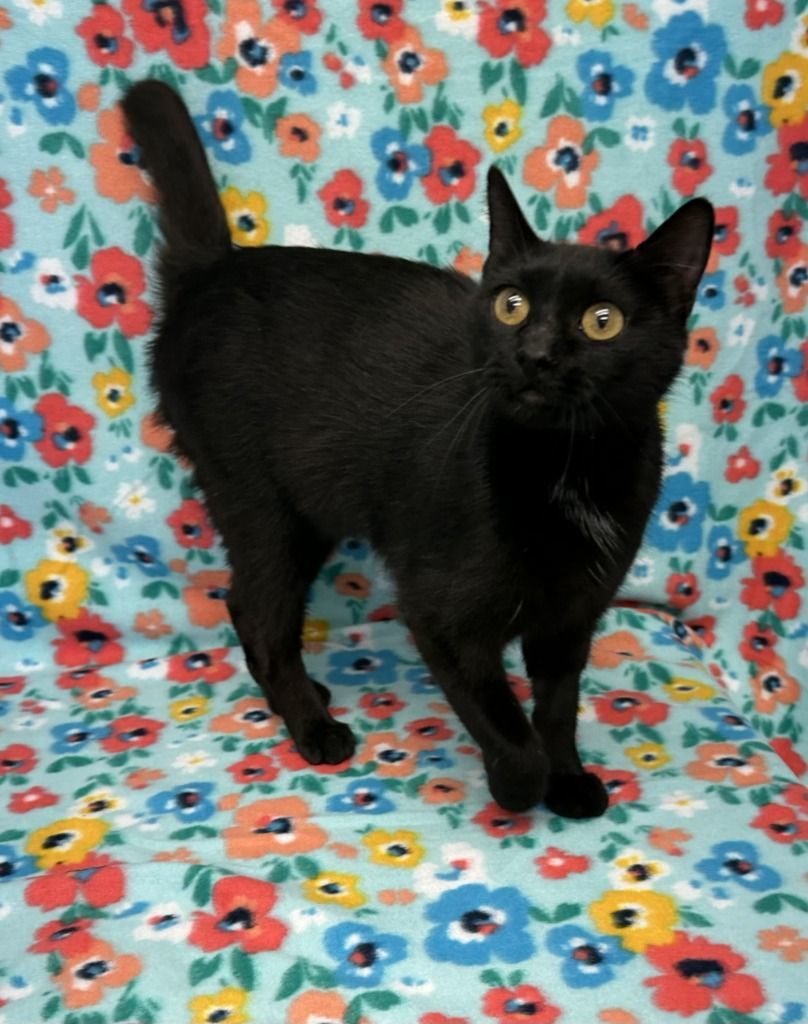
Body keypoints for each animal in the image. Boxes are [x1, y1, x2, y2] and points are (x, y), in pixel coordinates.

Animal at [123, 80, 713, 817]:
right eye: (512, 306)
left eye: (602, 322)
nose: (535, 355)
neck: (566, 465)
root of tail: (213, 270)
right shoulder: (439, 612)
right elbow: (510, 728)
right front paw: (519, 787)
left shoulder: (572, 616)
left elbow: (557, 708)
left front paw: (569, 780)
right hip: (256, 499)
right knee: (258, 611)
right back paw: (313, 727)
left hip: (305, 510)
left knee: (249, 606)